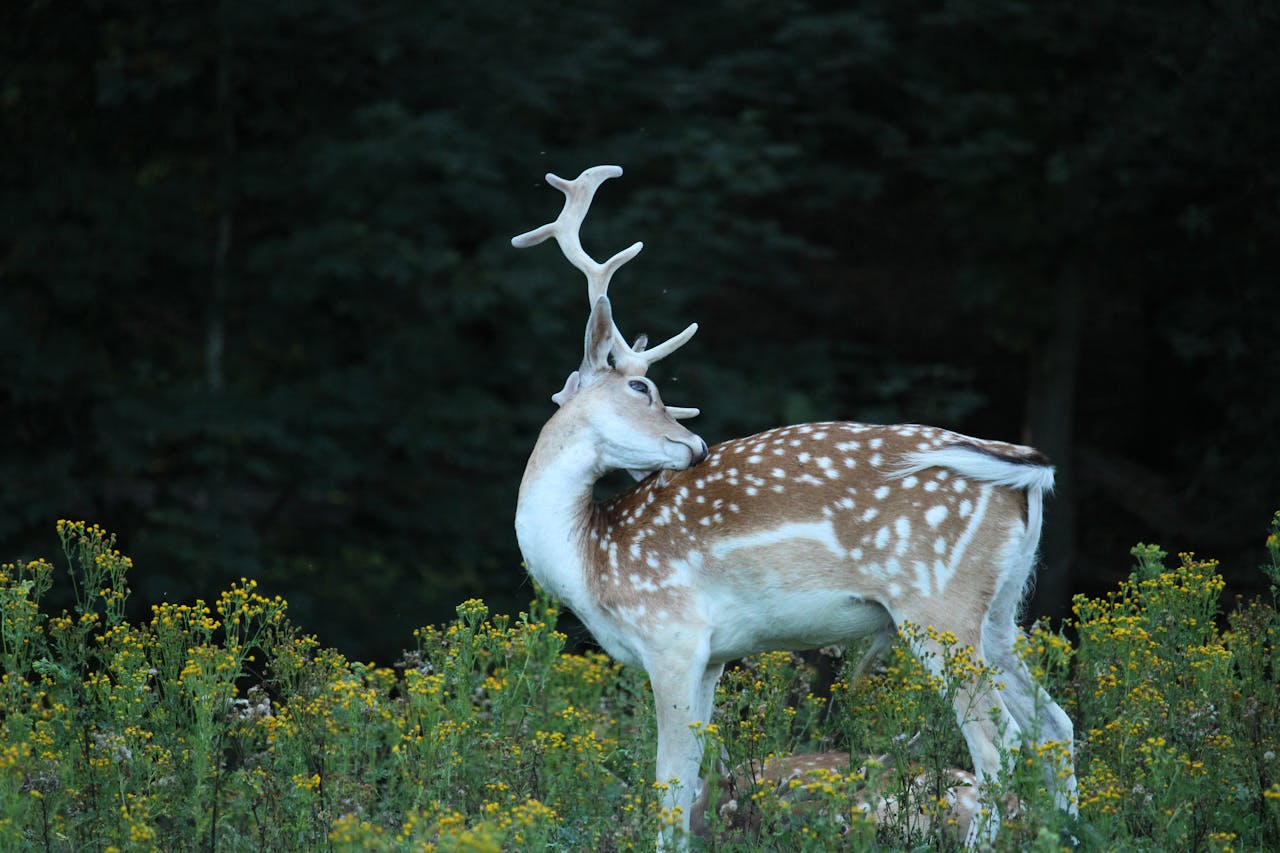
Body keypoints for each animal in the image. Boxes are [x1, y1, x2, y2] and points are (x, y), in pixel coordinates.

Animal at [509, 163, 1080, 845]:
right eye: (642, 386)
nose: (697, 446)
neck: (590, 560)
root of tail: (1024, 467)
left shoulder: (672, 634)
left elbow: (669, 787)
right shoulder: (712, 657)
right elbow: (694, 781)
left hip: (937, 605)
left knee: (1001, 745)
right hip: (999, 613)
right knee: (1055, 727)